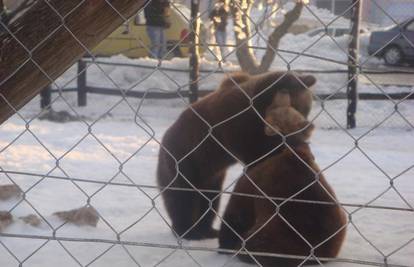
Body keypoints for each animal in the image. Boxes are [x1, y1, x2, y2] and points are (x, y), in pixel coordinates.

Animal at [157, 71, 316, 241]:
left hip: (211, 174)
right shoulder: (237, 125)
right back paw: (187, 231)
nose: (306, 127)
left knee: (210, 199)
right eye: (296, 109)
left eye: (306, 110)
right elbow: (258, 153)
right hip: (185, 158)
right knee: (182, 196)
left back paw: (207, 230)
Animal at [218, 93, 348, 266]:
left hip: (275, 235)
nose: (282, 92)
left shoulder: (252, 184)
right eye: (272, 106)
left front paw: (225, 242)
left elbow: (236, 212)